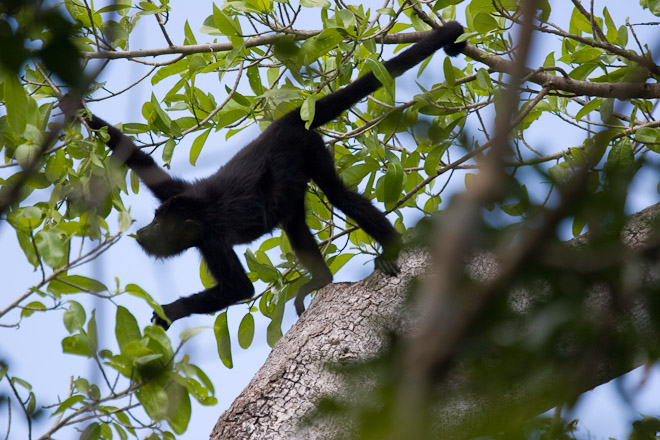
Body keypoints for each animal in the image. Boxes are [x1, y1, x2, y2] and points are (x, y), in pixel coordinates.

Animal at [67, 21, 466, 328]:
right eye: (155, 217)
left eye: (161, 227)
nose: (143, 231)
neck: (198, 213)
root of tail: (288, 119)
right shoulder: (181, 192)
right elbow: (140, 161)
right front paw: (75, 109)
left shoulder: (211, 240)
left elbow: (240, 290)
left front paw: (170, 311)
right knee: (295, 222)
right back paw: (321, 279)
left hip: (306, 147)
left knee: (336, 195)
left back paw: (390, 245)